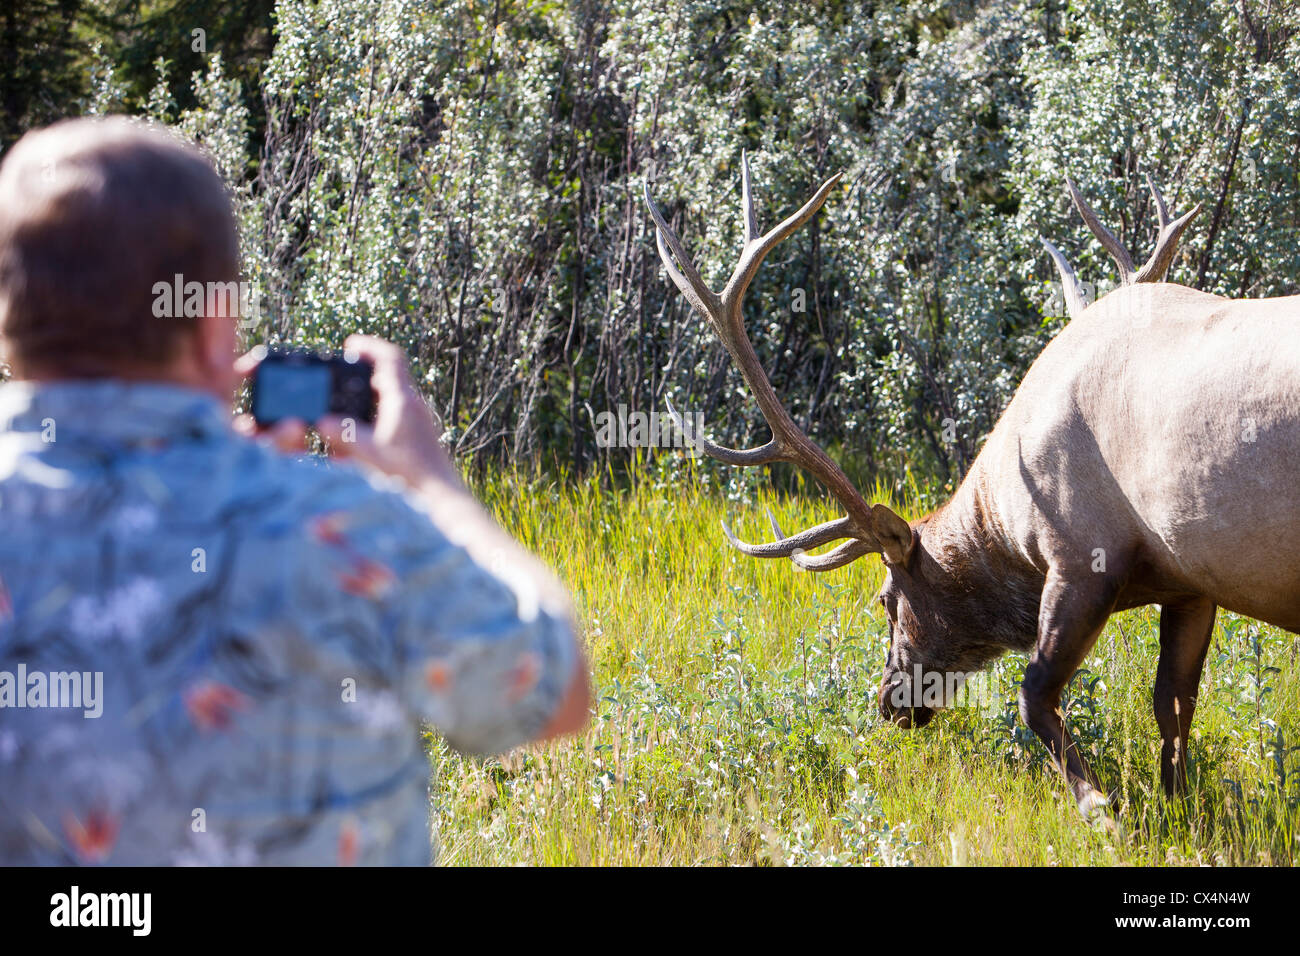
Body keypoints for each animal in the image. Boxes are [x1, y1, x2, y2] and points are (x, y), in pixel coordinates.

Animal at [650, 153, 1300, 816]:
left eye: (885, 599)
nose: (887, 702)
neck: (1008, 521)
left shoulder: (1083, 553)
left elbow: (1034, 696)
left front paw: (1100, 809)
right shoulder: (1190, 582)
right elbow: (1173, 709)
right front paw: (1172, 812)